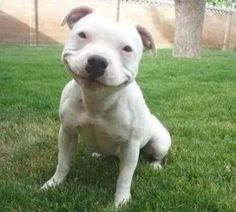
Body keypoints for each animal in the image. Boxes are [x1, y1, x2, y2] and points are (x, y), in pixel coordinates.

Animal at [41, 6, 171, 207]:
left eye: (127, 49)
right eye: (82, 35)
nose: (97, 61)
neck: (97, 100)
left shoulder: (130, 145)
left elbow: (125, 177)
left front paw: (121, 200)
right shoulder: (67, 132)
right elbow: (63, 162)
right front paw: (54, 183)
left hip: (160, 142)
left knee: (157, 154)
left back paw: (155, 165)